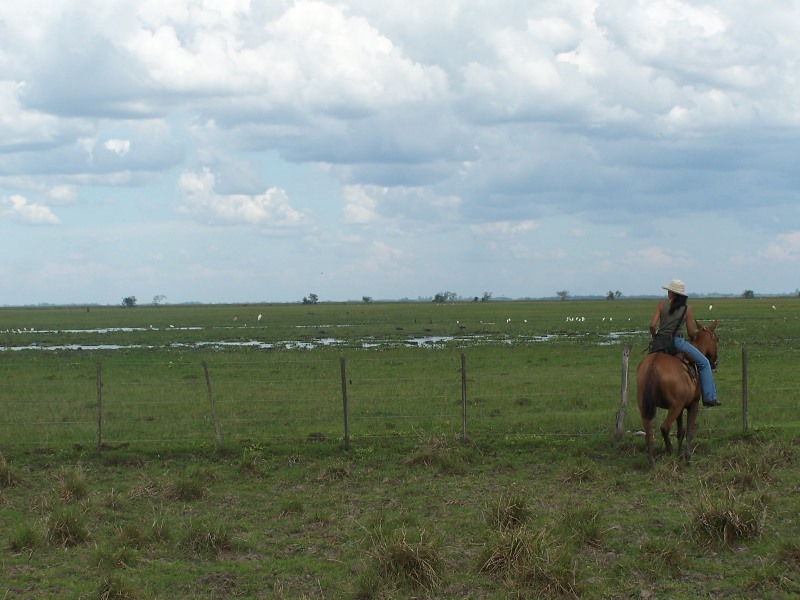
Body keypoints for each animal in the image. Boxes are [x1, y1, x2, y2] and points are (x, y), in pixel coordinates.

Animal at [636, 318, 720, 468]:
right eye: (716, 339)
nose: (715, 361)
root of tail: (653, 364)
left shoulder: (681, 408)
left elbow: (680, 431)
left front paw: (679, 454)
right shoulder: (692, 404)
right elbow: (689, 431)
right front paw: (687, 457)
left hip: (645, 407)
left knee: (649, 433)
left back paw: (651, 462)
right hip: (675, 407)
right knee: (664, 427)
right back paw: (669, 450)